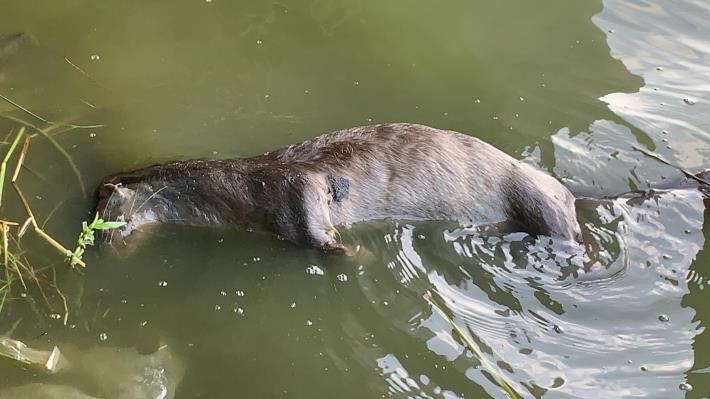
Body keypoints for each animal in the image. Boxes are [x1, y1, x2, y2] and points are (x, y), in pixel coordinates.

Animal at [93, 123, 584, 253]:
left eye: (100, 216)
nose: (98, 246)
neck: (240, 190)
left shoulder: (293, 189)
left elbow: (316, 228)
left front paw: (354, 254)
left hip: (539, 199)